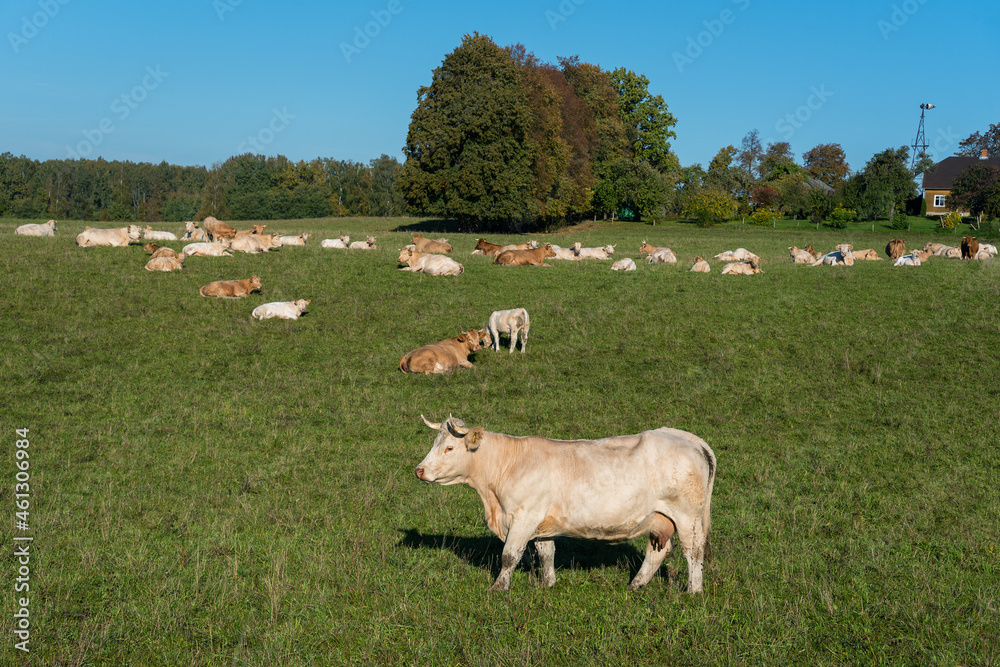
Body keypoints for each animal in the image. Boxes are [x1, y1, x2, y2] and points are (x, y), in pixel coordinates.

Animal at [414, 415, 716, 593]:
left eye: (449, 448)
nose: (419, 470)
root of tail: (686, 437)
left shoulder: (524, 516)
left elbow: (509, 555)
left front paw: (498, 589)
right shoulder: (541, 522)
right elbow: (546, 552)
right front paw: (548, 584)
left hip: (687, 517)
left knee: (693, 552)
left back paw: (693, 591)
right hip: (659, 518)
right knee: (658, 551)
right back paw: (635, 585)